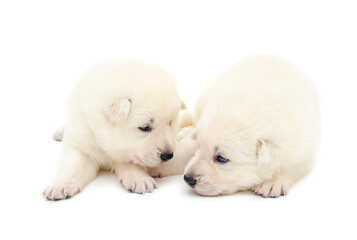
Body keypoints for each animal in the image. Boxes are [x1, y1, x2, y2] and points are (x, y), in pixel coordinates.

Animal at [43, 60, 185, 201]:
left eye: (170, 122)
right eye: (145, 127)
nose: (168, 155)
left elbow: (132, 160)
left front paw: (139, 179)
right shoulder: (84, 137)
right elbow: (73, 164)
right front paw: (60, 186)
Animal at [182, 55, 318, 197]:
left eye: (221, 158)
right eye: (199, 146)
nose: (187, 178)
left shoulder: (303, 149)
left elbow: (292, 167)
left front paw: (272, 182)